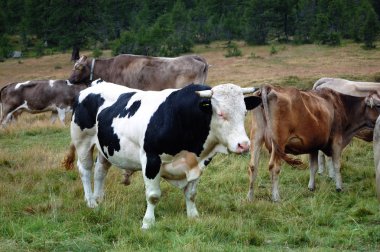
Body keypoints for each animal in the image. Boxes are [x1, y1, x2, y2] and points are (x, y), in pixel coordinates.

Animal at [63, 79, 262, 229]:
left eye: (245, 112)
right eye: (220, 113)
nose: (244, 145)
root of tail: (94, 85)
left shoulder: (199, 163)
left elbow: (191, 193)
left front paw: (193, 216)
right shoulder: (151, 159)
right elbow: (153, 195)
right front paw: (148, 223)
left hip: (106, 147)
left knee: (100, 171)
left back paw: (99, 199)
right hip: (82, 141)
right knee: (86, 170)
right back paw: (90, 201)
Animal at [246, 83, 380, 202]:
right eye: (378, 106)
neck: (341, 104)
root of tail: (268, 87)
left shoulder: (313, 145)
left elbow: (313, 167)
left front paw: (311, 187)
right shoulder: (337, 140)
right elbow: (337, 165)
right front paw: (339, 187)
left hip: (256, 137)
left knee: (253, 165)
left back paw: (250, 197)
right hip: (279, 142)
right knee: (274, 167)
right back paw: (276, 197)